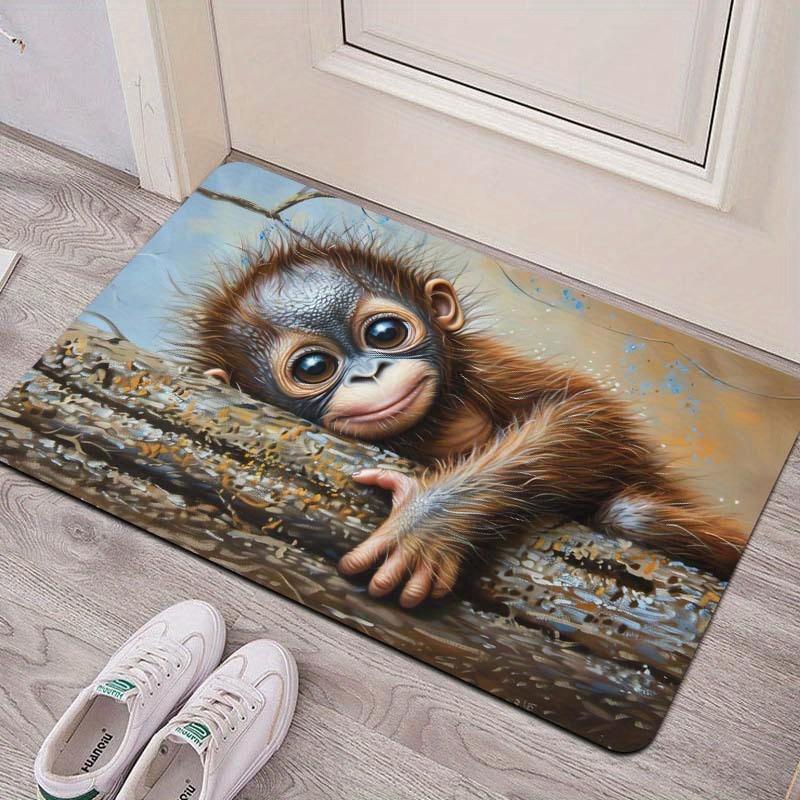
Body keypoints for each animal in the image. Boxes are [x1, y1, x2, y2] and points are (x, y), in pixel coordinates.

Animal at [184, 233, 747, 608]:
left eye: (385, 333)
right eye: (313, 368)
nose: (371, 373)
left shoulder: (483, 363)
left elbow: (585, 410)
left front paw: (428, 520)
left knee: (632, 512)